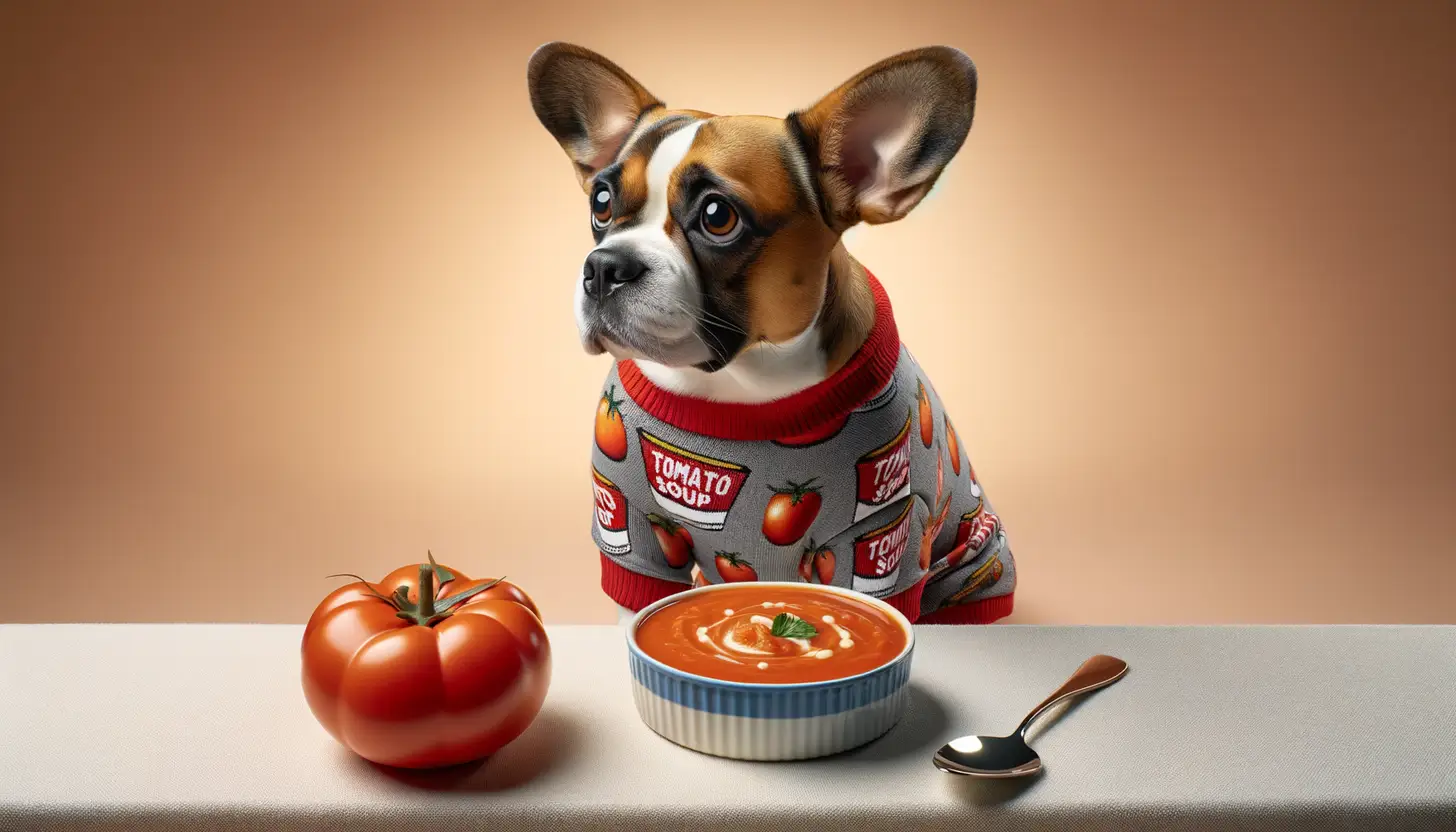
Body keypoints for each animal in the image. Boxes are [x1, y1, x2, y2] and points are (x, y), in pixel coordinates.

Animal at [529, 38, 1019, 623]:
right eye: (601, 202)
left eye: (717, 216)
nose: (604, 266)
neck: (734, 389)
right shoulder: (627, 522)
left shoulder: (881, 540)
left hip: (971, 560)